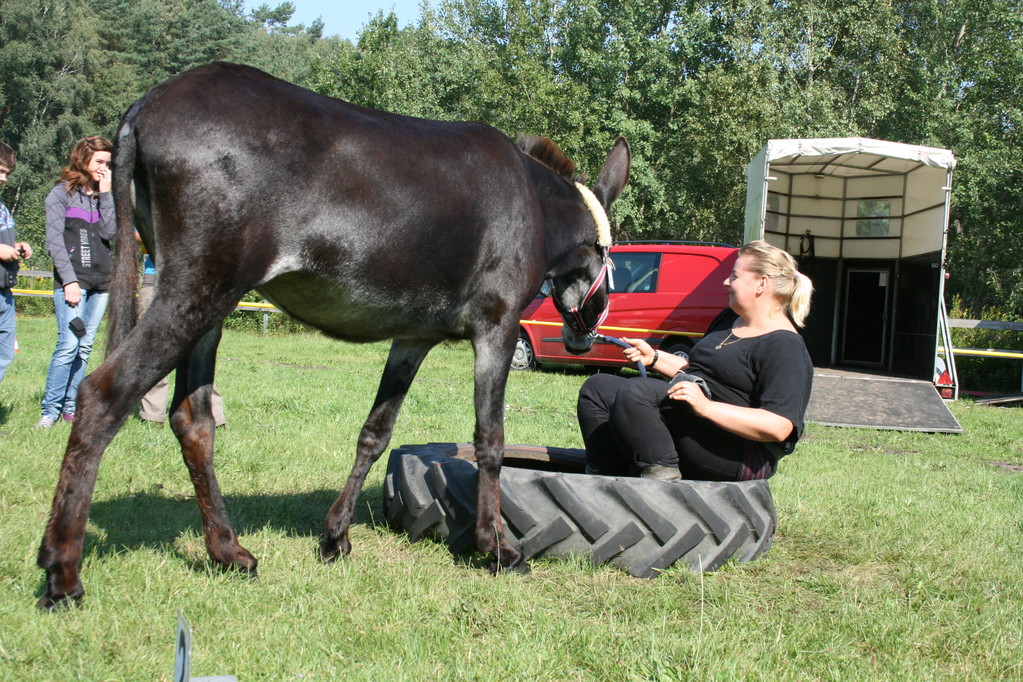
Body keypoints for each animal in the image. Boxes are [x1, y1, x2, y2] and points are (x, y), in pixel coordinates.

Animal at [36, 62, 630, 609]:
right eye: (612, 257)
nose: (589, 334)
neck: (536, 204)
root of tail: (145, 105)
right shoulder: (497, 327)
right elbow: (491, 438)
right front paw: (497, 548)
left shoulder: (413, 338)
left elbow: (375, 432)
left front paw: (336, 536)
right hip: (196, 289)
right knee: (102, 395)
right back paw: (62, 574)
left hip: (209, 302)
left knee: (193, 419)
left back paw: (228, 553)